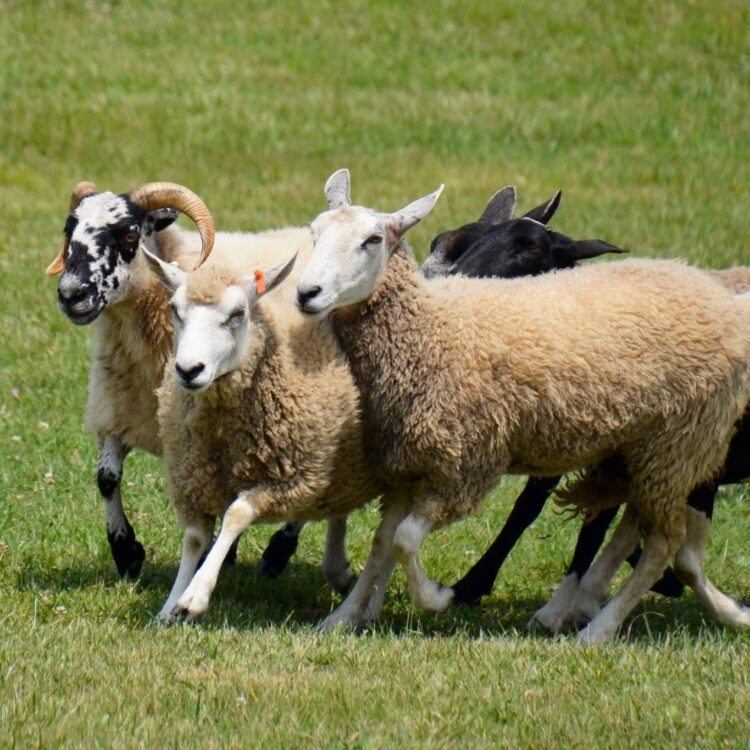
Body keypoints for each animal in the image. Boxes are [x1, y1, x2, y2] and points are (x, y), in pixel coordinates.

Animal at [143, 247, 398, 621]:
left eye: (238, 314)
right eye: (175, 310)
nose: (189, 371)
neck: (223, 437)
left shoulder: (285, 481)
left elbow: (235, 514)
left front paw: (195, 596)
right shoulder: (193, 478)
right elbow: (194, 539)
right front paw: (170, 606)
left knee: (390, 540)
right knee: (342, 510)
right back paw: (337, 570)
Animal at [295, 169, 750, 642]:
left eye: (373, 240)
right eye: (314, 234)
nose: (307, 293)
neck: (433, 329)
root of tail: (708, 289)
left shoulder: (466, 469)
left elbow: (404, 541)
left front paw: (438, 597)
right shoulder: (409, 465)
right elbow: (383, 542)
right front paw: (344, 616)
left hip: (679, 444)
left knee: (665, 542)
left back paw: (599, 630)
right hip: (640, 452)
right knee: (640, 527)